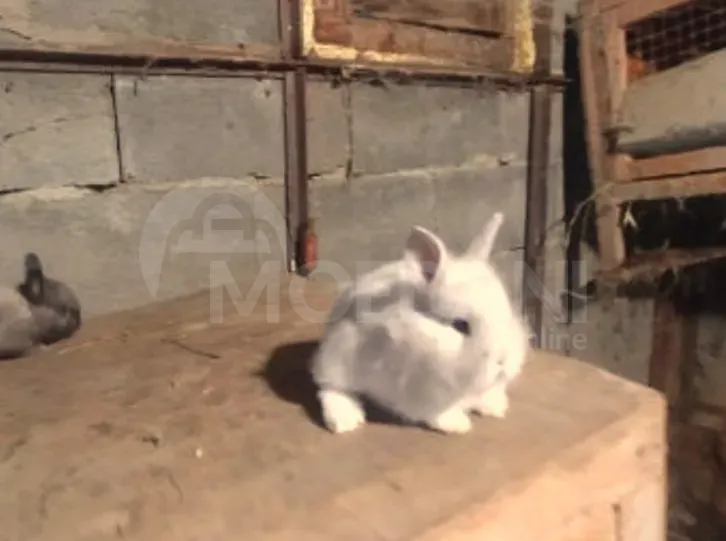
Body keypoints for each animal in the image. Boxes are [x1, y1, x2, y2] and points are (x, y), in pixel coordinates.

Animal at [311, 212, 530, 435]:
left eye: (506, 313)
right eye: (460, 325)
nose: (503, 362)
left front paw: (496, 406)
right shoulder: (416, 391)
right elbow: (435, 412)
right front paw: (458, 424)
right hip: (337, 360)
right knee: (330, 387)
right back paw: (346, 421)